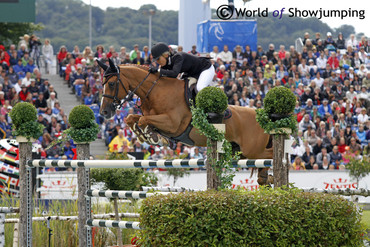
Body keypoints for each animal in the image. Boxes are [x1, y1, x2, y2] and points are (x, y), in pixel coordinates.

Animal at [97, 59, 272, 183]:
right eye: (102, 84)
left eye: (111, 84)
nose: (104, 112)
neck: (155, 91)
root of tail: (261, 116)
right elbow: (132, 118)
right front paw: (146, 135)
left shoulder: (173, 124)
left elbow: (143, 120)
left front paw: (151, 136)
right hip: (239, 151)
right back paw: (264, 178)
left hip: (251, 149)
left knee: (269, 156)